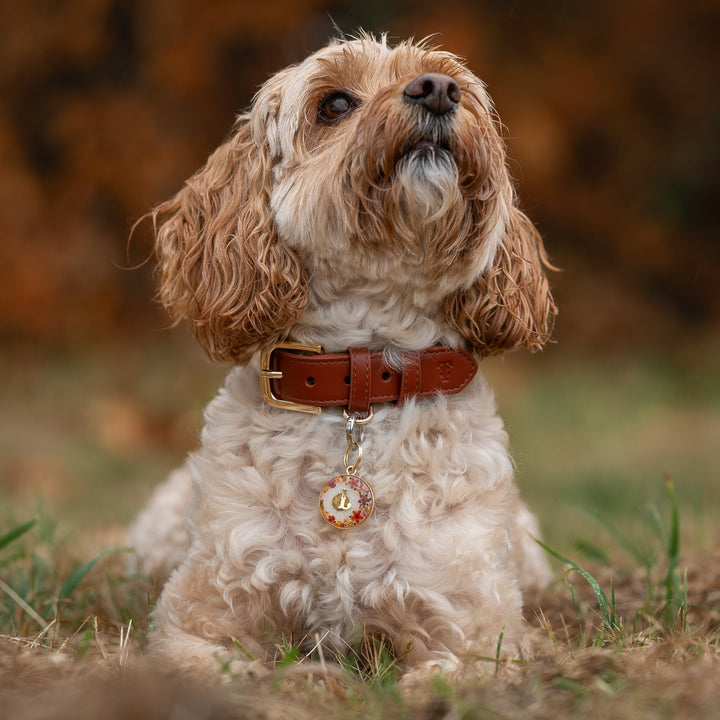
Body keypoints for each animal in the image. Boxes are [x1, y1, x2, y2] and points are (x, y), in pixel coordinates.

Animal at [131, 32, 556, 676]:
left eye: (454, 82)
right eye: (333, 104)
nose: (437, 89)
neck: (363, 378)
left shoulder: (476, 630)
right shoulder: (197, 617)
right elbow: (217, 663)